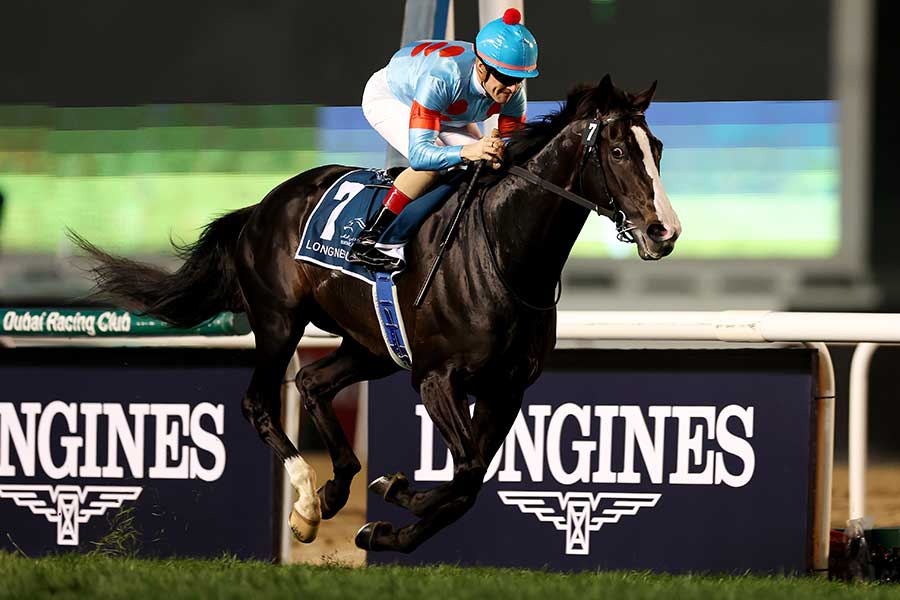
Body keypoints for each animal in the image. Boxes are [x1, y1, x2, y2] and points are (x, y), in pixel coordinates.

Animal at [71, 74, 682, 553]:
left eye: (656, 147)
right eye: (620, 152)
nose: (664, 231)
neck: (505, 253)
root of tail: (265, 203)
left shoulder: (507, 388)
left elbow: (471, 481)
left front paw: (385, 527)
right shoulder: (436, 378)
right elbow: (465, 475)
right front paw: (397, 493)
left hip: (372, 345)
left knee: (313, 383)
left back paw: (334, 488)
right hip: (279, 321)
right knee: (259, 401)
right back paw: (306, 504)